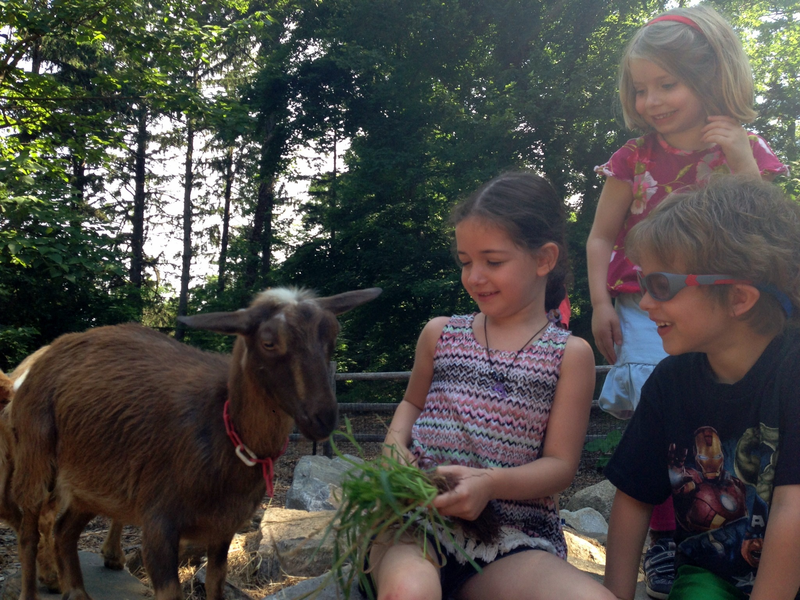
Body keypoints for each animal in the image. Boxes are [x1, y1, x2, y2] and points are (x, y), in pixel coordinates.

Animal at [10, 288, 382, 600]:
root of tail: (53, 348)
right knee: (30, 532)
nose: (323, 417)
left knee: (63, 531)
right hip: (34, 454)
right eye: (268, 342)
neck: (226, 432)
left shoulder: (223, 528)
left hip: (90, 481)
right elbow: (170, 592)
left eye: (332, 335)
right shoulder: (158, 523)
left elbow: (216, 583)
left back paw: (76, 592)